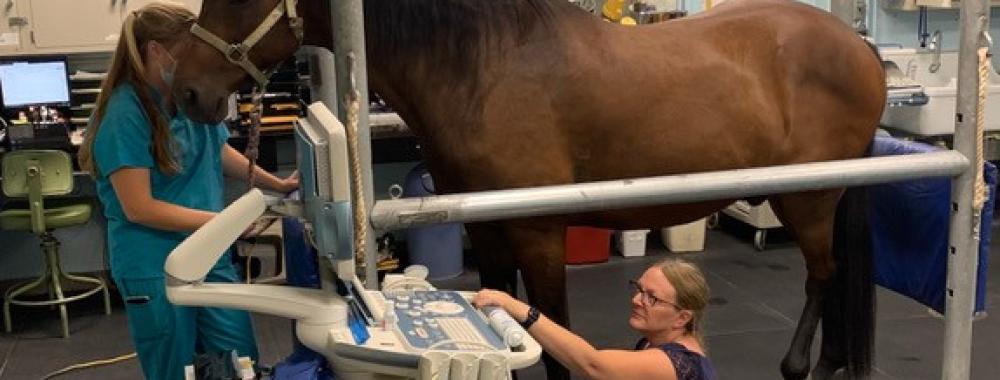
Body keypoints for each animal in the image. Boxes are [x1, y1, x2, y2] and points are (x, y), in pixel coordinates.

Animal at [170, 1, 884, 378]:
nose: (188, 93)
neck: (482, 70)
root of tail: (862, 49)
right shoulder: (487, 229)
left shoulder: (539, 232)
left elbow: (560, 344)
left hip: (808, 200)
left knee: (822, 277)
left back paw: (801, 366)